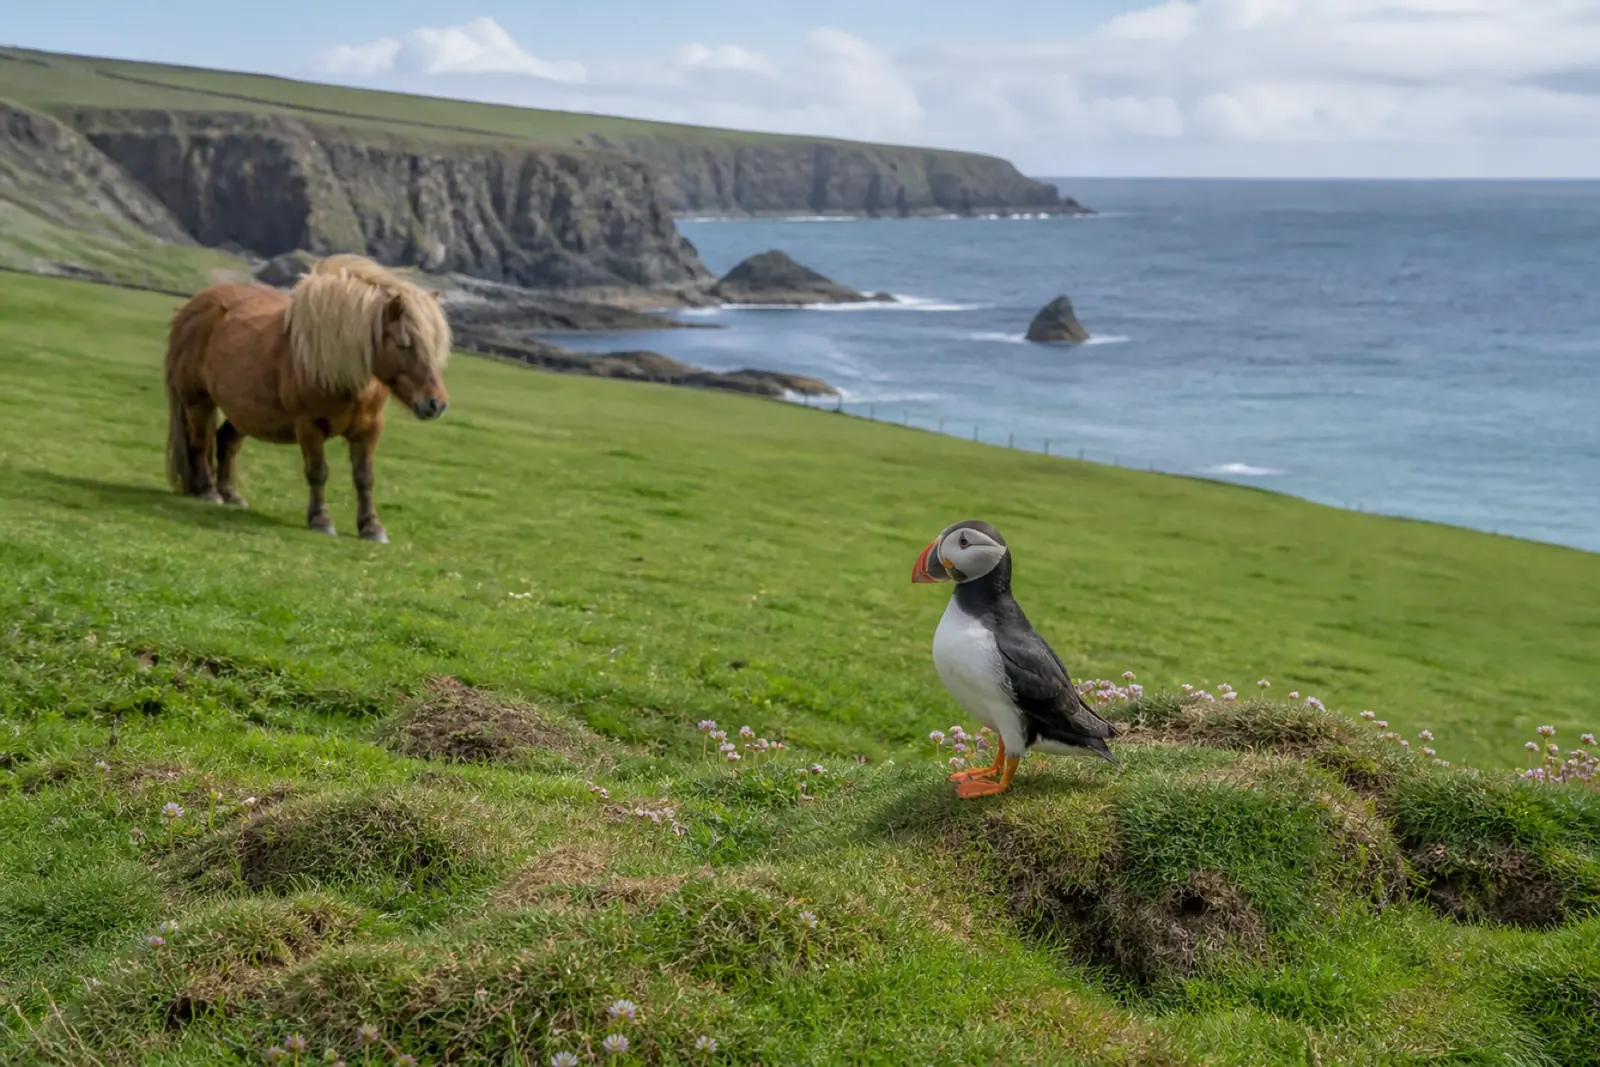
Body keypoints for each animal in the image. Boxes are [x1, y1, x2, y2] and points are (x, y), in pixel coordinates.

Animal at [162, 253, 452, 544]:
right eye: (403, 344)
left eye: (434, 346)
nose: (435, 404)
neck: (337, 367)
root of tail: (190, 308)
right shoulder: (309, 426)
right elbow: (317, 472)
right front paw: (321, 520)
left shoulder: (369, 429)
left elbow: (364, 477)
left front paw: (371, 527)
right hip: (198, 402)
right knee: (201, 443)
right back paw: (209, 492)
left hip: (243, 412)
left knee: (226, 442)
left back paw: (231, 495)